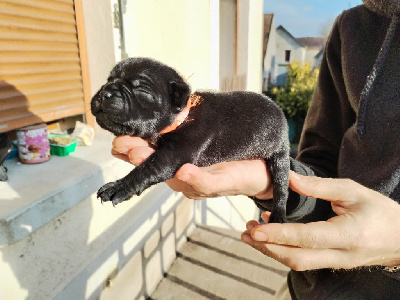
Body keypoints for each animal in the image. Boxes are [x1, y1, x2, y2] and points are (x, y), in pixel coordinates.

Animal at [92, 56, 290, 223]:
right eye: (108, 79)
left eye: (141, 89)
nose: (103, 92)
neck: (183, 115)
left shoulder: (176, 152)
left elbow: (147, 169)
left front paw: (119, 186)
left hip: (279, 157)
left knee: (281, 186)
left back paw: (277, 215)